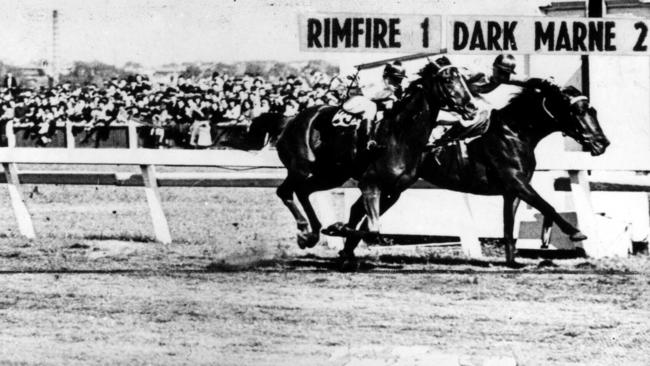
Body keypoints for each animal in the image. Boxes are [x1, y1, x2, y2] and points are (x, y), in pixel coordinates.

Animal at [274, 57, 476, 250]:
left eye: (463, 78)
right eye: (447, 79)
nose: (472, 108)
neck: (399, 135)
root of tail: (290, 120)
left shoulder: (393, 190)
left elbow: (366, 224)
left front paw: (338, 231)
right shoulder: (370, 184)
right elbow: (372, 230)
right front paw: (337, 228)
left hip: (332, 175)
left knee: (303, 190)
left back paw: (312, 233)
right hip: (301, 168)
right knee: (284, 191)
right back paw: (304, 231)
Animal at [416, 79, 608, 264]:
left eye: (593, 110)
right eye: (577, 111)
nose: (602, 143)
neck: (514, 133)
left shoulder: (512, 191)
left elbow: (509, 228)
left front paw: (511, 262)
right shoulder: (516, 180)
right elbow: (547, 206)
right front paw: (576, 232)